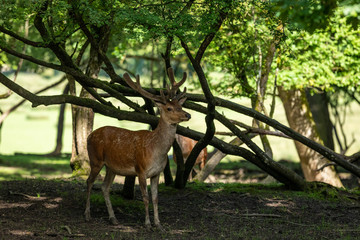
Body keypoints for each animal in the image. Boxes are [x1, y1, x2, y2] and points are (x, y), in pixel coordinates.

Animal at [84, 67, 191, 231]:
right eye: (169, 108)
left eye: (181, 106)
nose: (188, 114)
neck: (157, 151)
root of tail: (89, 136)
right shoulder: (141, 170)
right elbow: (145, 198)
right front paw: (147, 224)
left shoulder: (157, 173)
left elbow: (155, 198)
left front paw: (158, 224)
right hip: (95, 159)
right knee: (89, 182)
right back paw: (88, 215)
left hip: (111, 167)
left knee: (104, 187)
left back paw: (113, 219)